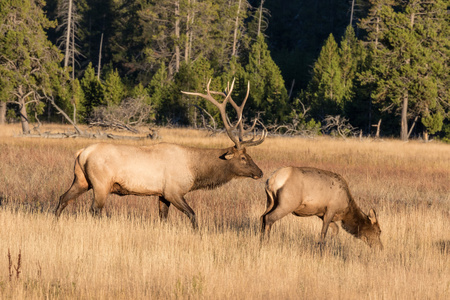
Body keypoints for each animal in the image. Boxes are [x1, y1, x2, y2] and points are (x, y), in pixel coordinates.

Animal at [56, 78, 268, 229]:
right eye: (243, 158)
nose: (260, 172)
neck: (195, 171)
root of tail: (82, 152)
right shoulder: (174, 191)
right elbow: (193, 215)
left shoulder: (162, 194)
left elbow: (163, 219)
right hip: (101, 184)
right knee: (94, 209)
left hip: (82, 180)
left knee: (63, 198)